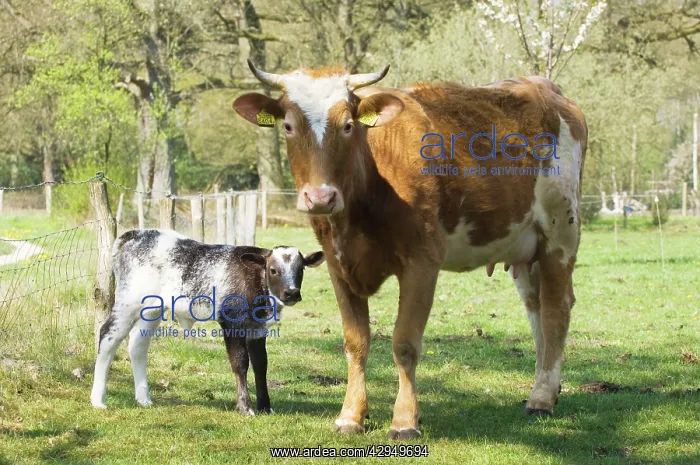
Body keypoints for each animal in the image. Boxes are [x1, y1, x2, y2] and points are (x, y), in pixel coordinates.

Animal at [90, 229, 324, 414]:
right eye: (273, 270)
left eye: (301, 269)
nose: (291, 293)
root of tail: (137, 233)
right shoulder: (231, 322)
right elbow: (240, 363)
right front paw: (245, 407)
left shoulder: (257, 329)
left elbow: (261, 364)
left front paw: (265, 407)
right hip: (128, 301)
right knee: (107, 336)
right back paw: (98, 400)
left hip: (152, 309)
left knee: (137, 345)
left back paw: (143, 399)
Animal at [232, 60, 587, 439]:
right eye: (288, 125)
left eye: (348, 125)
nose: (320, 197)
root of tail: (546, 89)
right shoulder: (337, 266)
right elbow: (355, 342)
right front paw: (350, 415)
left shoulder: (422, 261)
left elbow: (404, 342)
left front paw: (404, 420)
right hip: (524, 245)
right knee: (536, 309)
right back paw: (546, 387)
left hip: (561, 231)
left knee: (556, 310)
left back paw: (542, 399)